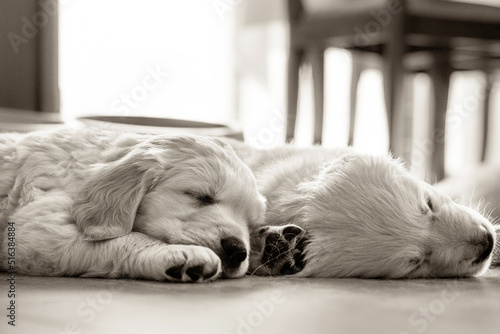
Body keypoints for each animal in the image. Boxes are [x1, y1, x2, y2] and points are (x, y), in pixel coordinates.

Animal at [0, 128, 266, 282]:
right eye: (201, 196)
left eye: (250, 223)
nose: (238, 251)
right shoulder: (35, 228)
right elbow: (126, 238)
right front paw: (182, 254)